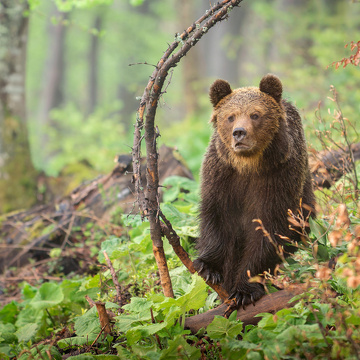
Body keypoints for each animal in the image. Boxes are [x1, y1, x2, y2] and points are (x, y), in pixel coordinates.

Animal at [194, 73, 316, 306]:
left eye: (255, 115)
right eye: (230, 116)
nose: (239, 133)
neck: (248, 165)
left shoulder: (278, 178)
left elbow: (269, 229)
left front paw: (245, 289)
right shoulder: (222, 176)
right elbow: (217, 218)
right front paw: (208, 267)